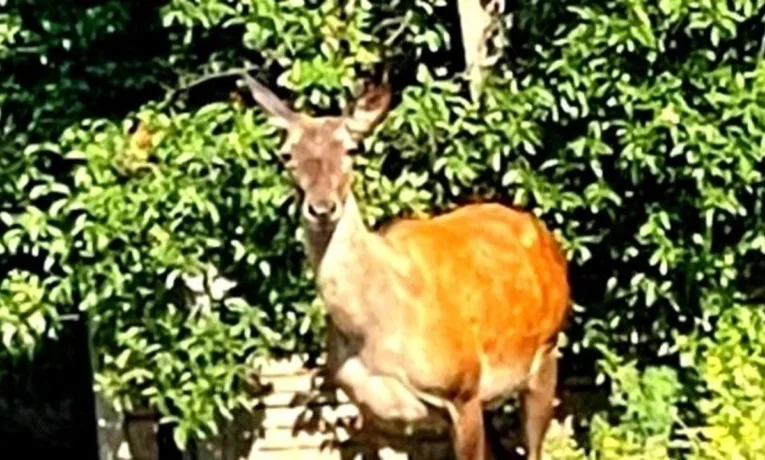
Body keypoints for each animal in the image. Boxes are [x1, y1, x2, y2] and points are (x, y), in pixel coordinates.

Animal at [238, 72, 571, 460]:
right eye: (287, 154)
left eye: (350, 149)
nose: (322, 208)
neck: (375, 331)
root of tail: (545, 236)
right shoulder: (370, 408)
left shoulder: (462, 390)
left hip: (546, 350)